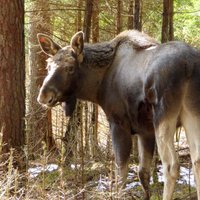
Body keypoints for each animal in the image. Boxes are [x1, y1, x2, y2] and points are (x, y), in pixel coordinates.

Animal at [36, 30, 199, 200]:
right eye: (48, 65)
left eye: (70, 68)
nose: (43, 96)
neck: (97, 87)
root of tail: (190, 66)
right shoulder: (145, 131)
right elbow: (143, 173)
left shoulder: (118, 123)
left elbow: (120, 173)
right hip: (191, 113)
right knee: (196, 161)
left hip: (164, 116)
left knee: (171, 166)